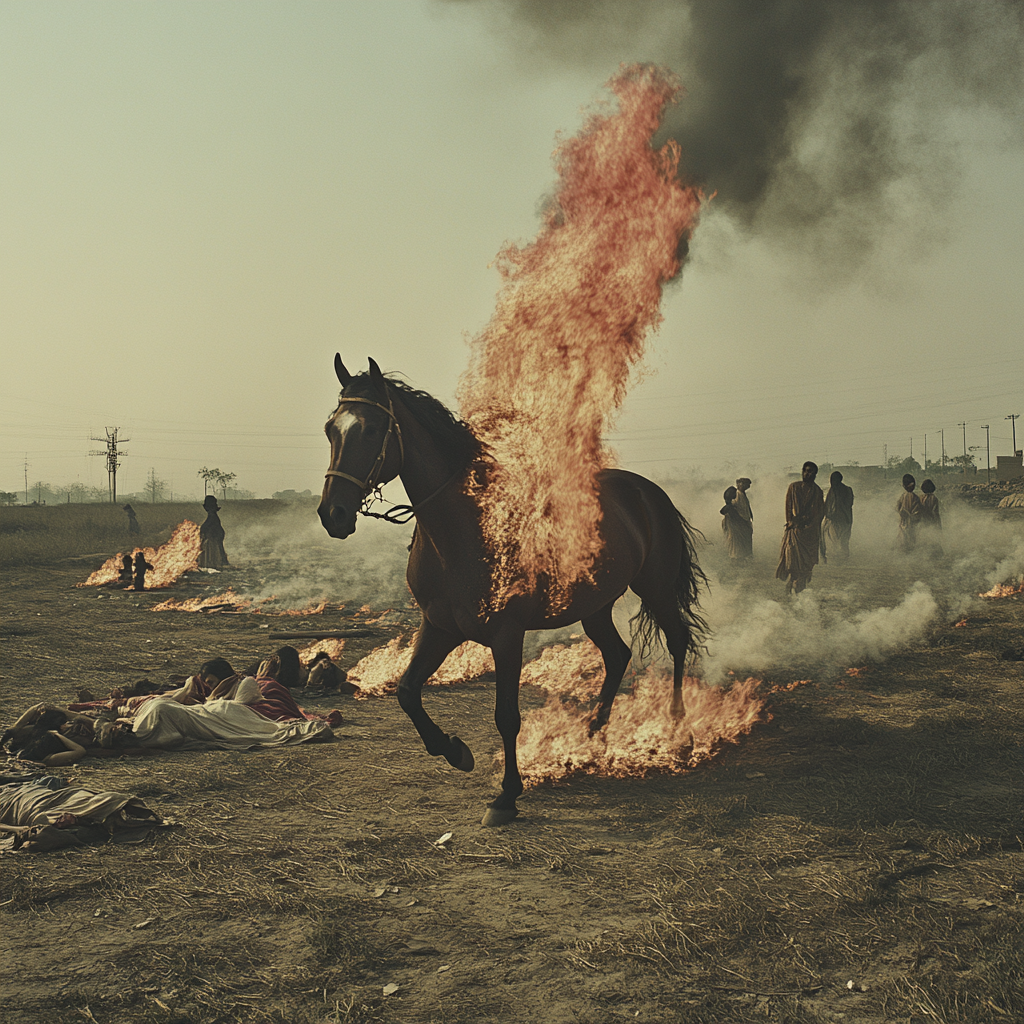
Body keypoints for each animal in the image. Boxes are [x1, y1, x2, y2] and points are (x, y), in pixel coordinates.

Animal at [317, 356, 704, 827]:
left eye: (372, 429)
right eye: (331, 428)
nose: (333, 514)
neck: (464, 528)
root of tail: (648, 492)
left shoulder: (506, 635)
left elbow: (506, 717)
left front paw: (506, 796)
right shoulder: (439, 627)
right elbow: (408, 692)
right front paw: (454, 751)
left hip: (657, 590)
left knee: (678, 641)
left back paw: (679, 732)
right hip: (594, 607)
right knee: (617, 656)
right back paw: (593, 734)